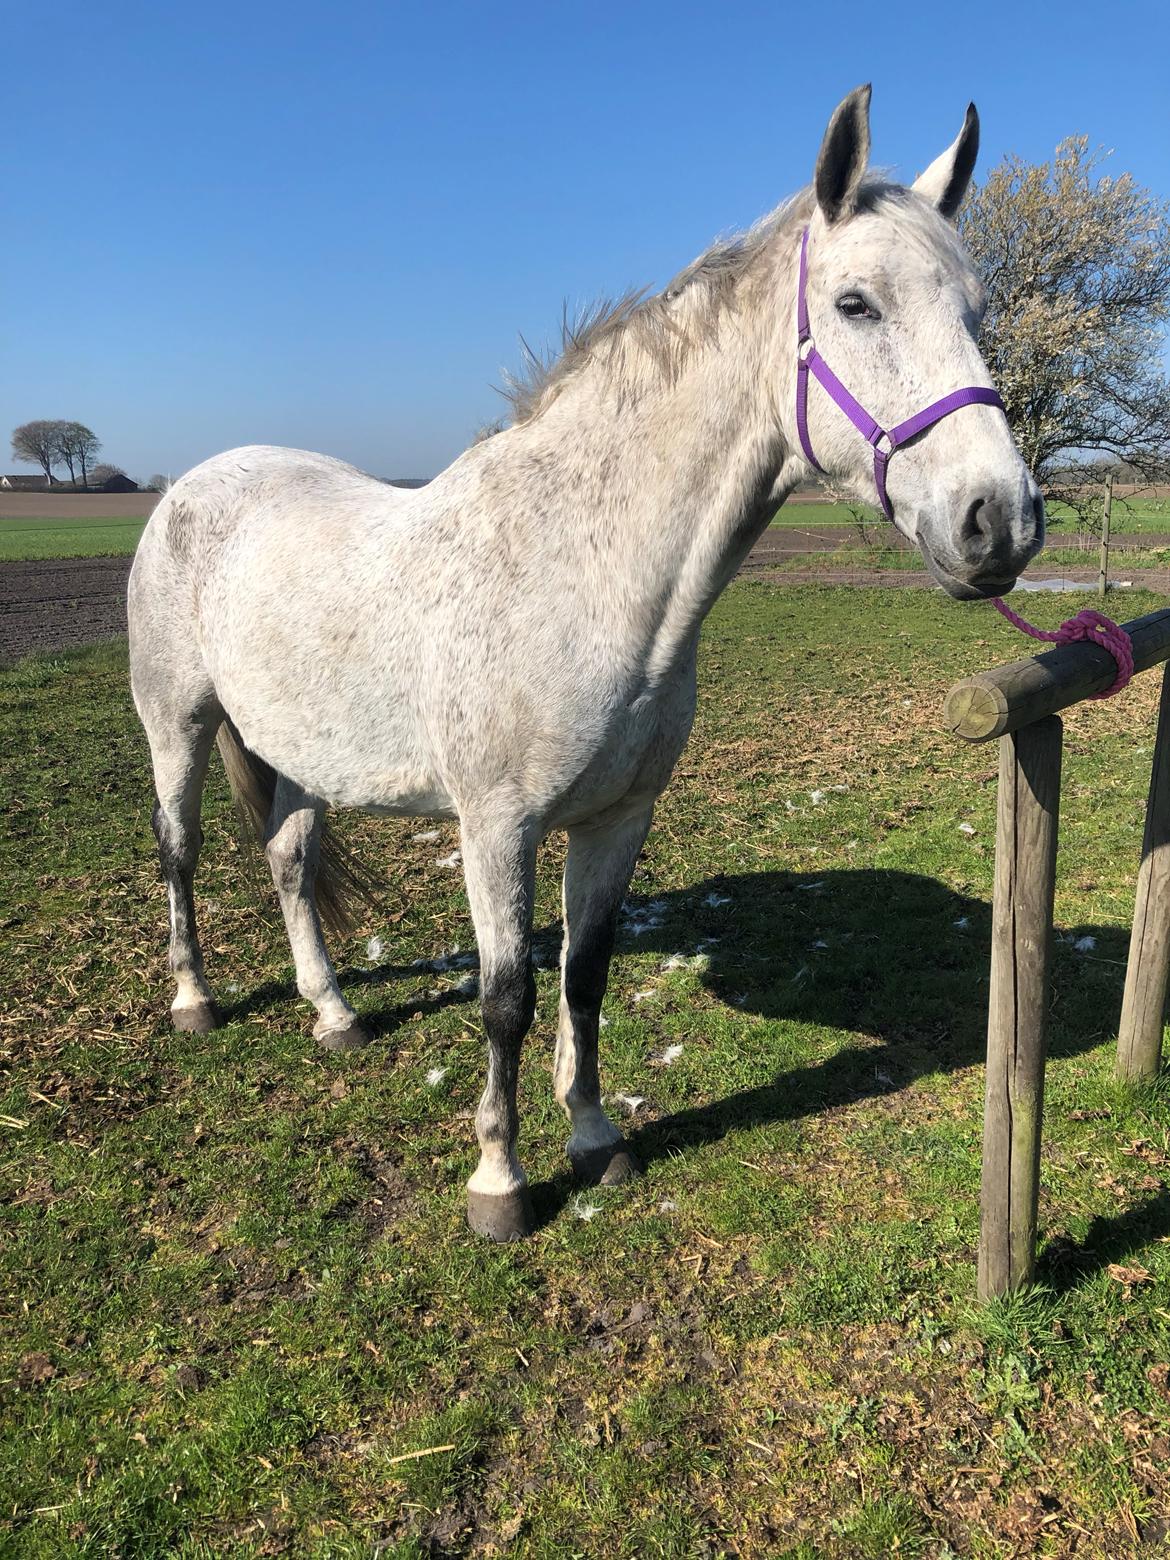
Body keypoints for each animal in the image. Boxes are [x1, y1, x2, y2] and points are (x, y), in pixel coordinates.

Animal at [127, 88, 1042, 1241]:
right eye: (855, 305)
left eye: (974, 310)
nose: (999, 522)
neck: (584, 573)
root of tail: (195, 483)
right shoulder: (496, 827)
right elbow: (506, 997)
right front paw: (500, 1183)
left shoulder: (617, 817)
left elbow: (585, 976)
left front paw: (597, 1141)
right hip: (179, 726)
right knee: (181, 853)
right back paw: (195, 1000)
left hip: (299, 750)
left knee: (289, 860)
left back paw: (334, 1014)